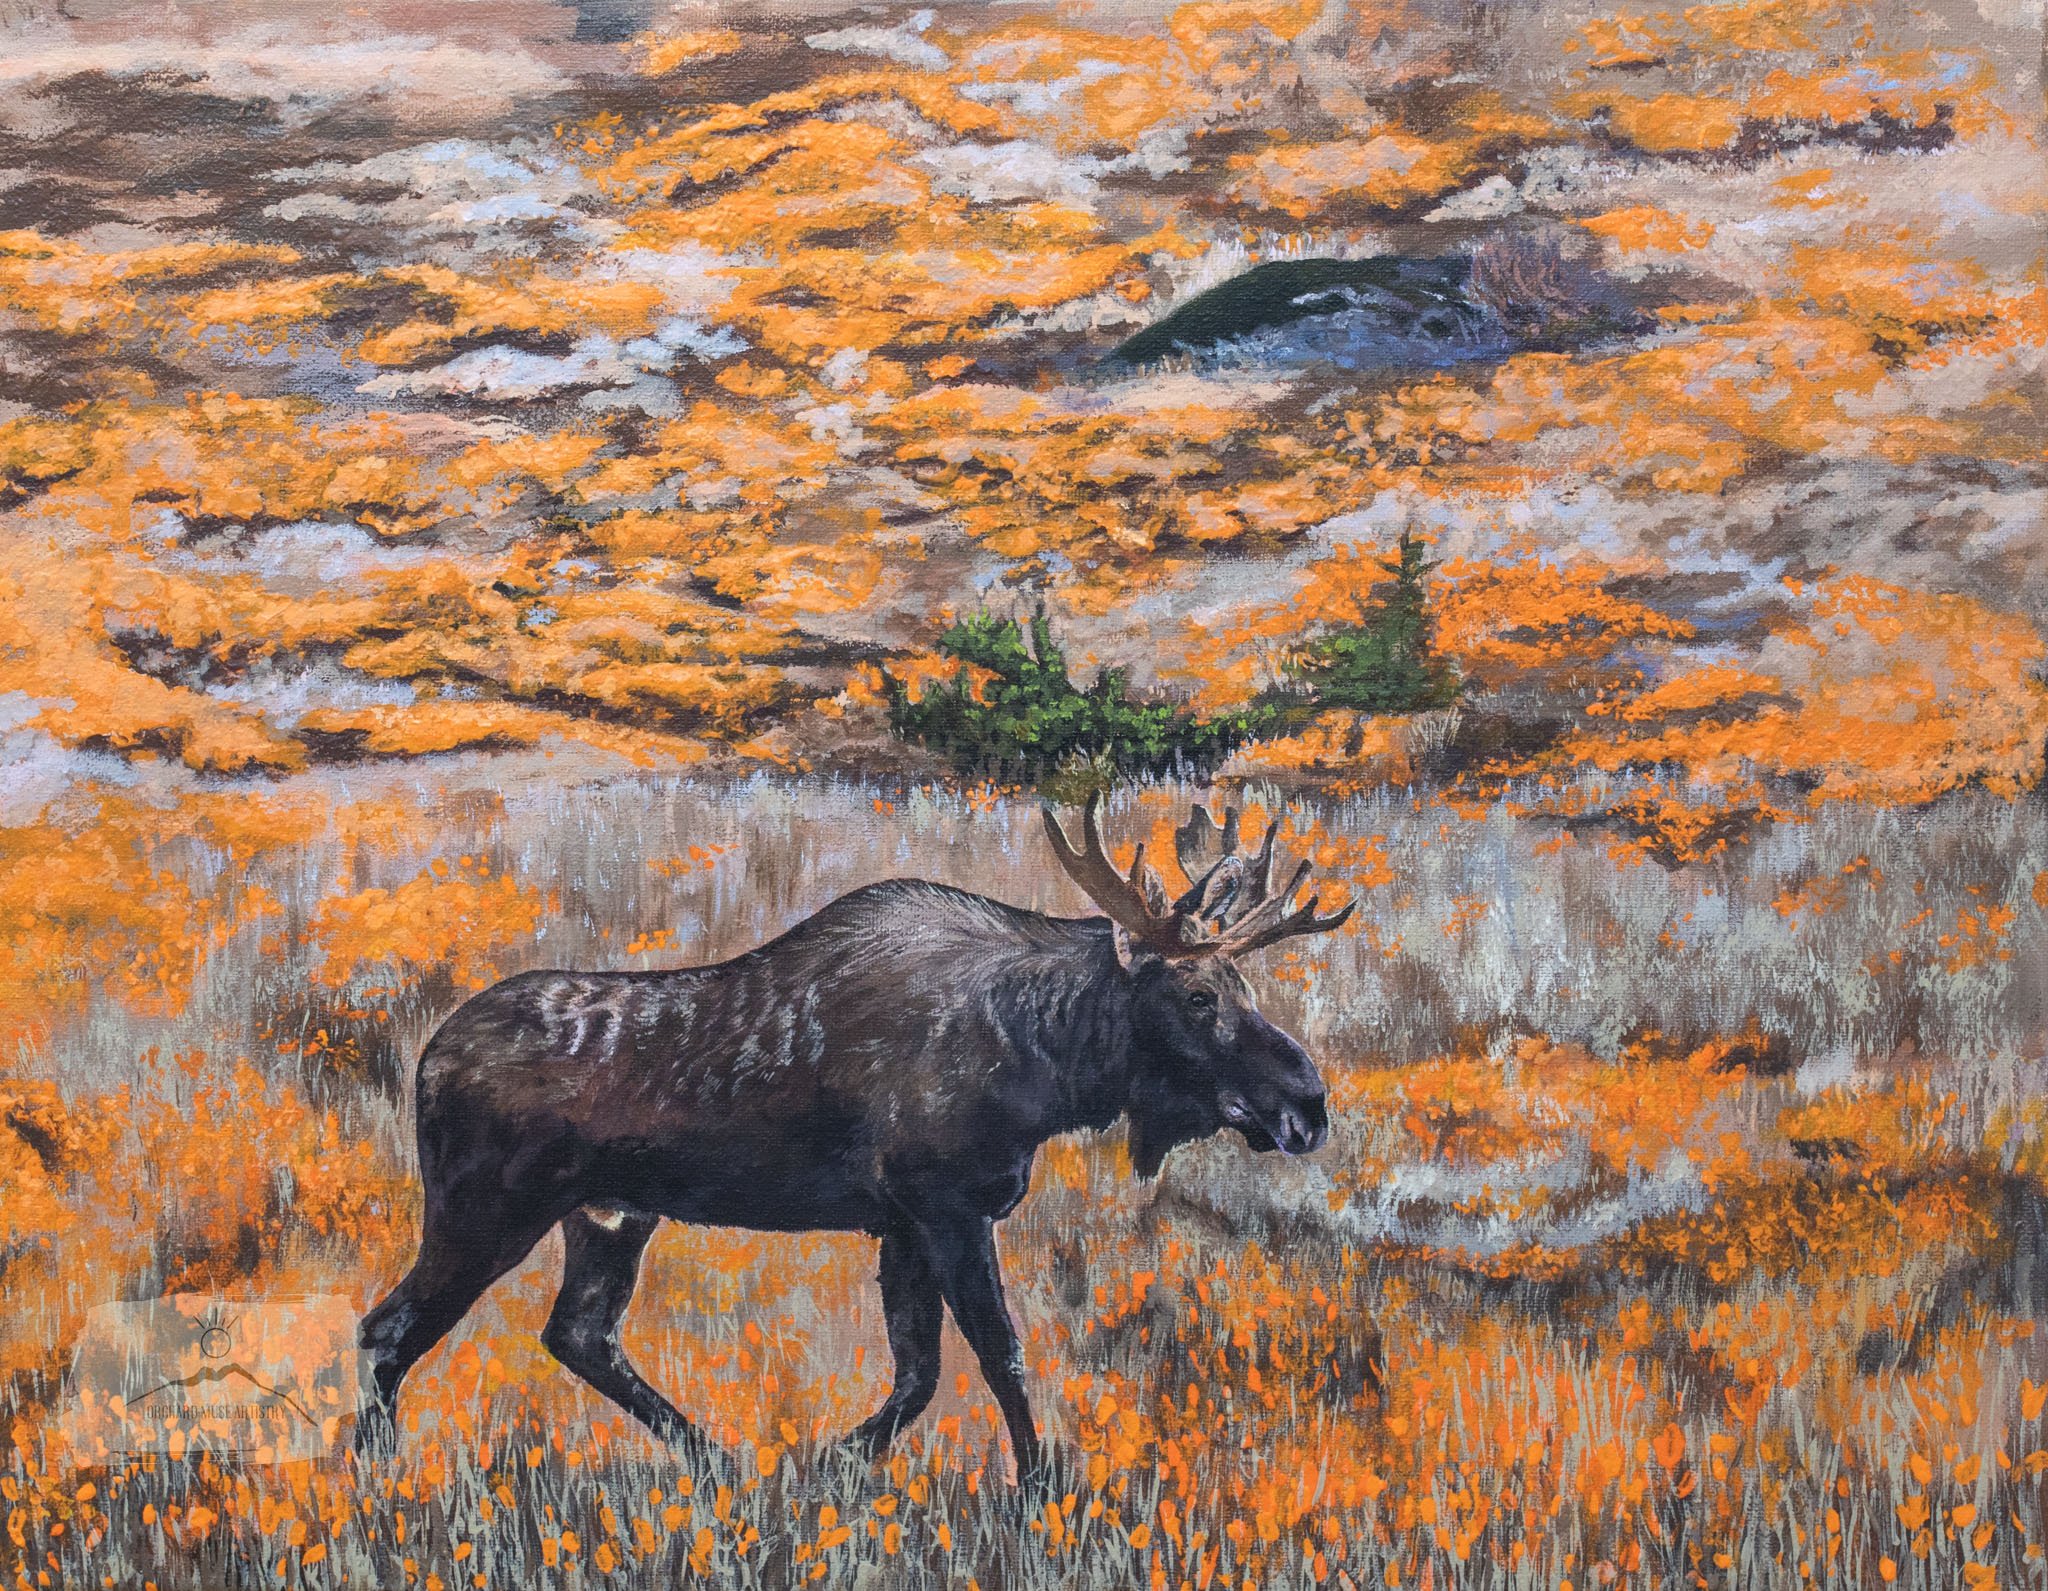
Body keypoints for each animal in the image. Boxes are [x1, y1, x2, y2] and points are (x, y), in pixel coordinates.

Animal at [356, 794, 1354, 1484]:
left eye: (1244, 984)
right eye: (1198, 994)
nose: (1307, 1105)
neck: (1046, 1062)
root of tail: (427, 1057)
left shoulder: (901, 1223)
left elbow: (919, 1370)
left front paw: (830, 1461)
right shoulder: (945, 1208)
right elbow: (996, 1353)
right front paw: (1039, 1487)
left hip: (608, 1217)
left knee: (577, 1333)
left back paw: (718, 1461)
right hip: (487, 1210)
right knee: (388, 1325)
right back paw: (378, 1481)